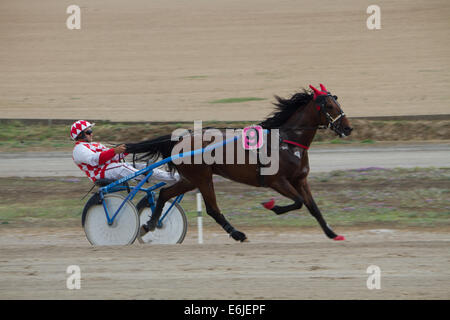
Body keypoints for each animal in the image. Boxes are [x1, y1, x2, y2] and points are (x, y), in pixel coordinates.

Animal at [125, 84, 352, 242]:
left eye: (338, 103)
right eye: (329, 106)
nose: (348, 128)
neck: (287, 142)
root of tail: (182, 138)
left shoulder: (300, 180)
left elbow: (312, 207)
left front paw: (332, 233)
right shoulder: (276, 181)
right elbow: (298, 202)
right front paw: (272, 206)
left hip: (191, 179)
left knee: (164, 193)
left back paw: (150, 224)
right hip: (203, 177)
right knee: (212, 209)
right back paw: (237, 234)